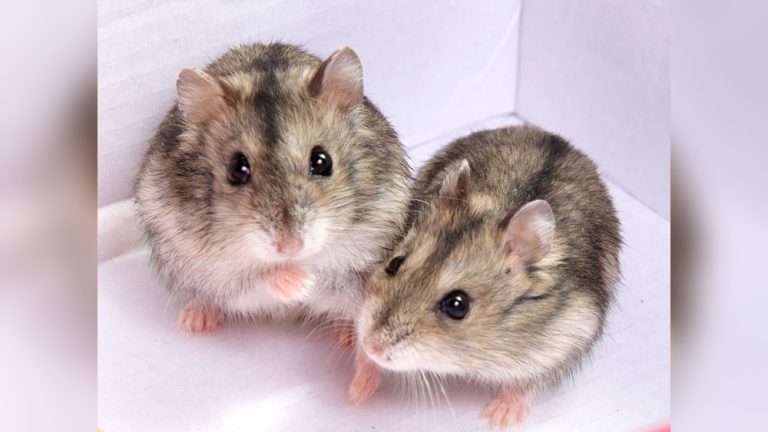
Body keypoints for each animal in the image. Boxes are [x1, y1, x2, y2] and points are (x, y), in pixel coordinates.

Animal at [134, 43, 411, 333]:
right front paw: (297, 284)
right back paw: (195, 321)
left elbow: (327, 272)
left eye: (322, 161)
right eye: (237, 169)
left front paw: (306, 282)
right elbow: (258, 276)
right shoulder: (208, 264)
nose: (290, 247)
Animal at [349, 126, 621, 428]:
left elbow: (526, 384)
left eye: (457, 305)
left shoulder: (562, 344)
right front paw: (357, 391)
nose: (372, 346)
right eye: (394, 264)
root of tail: (556, 137)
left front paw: (498, 419)